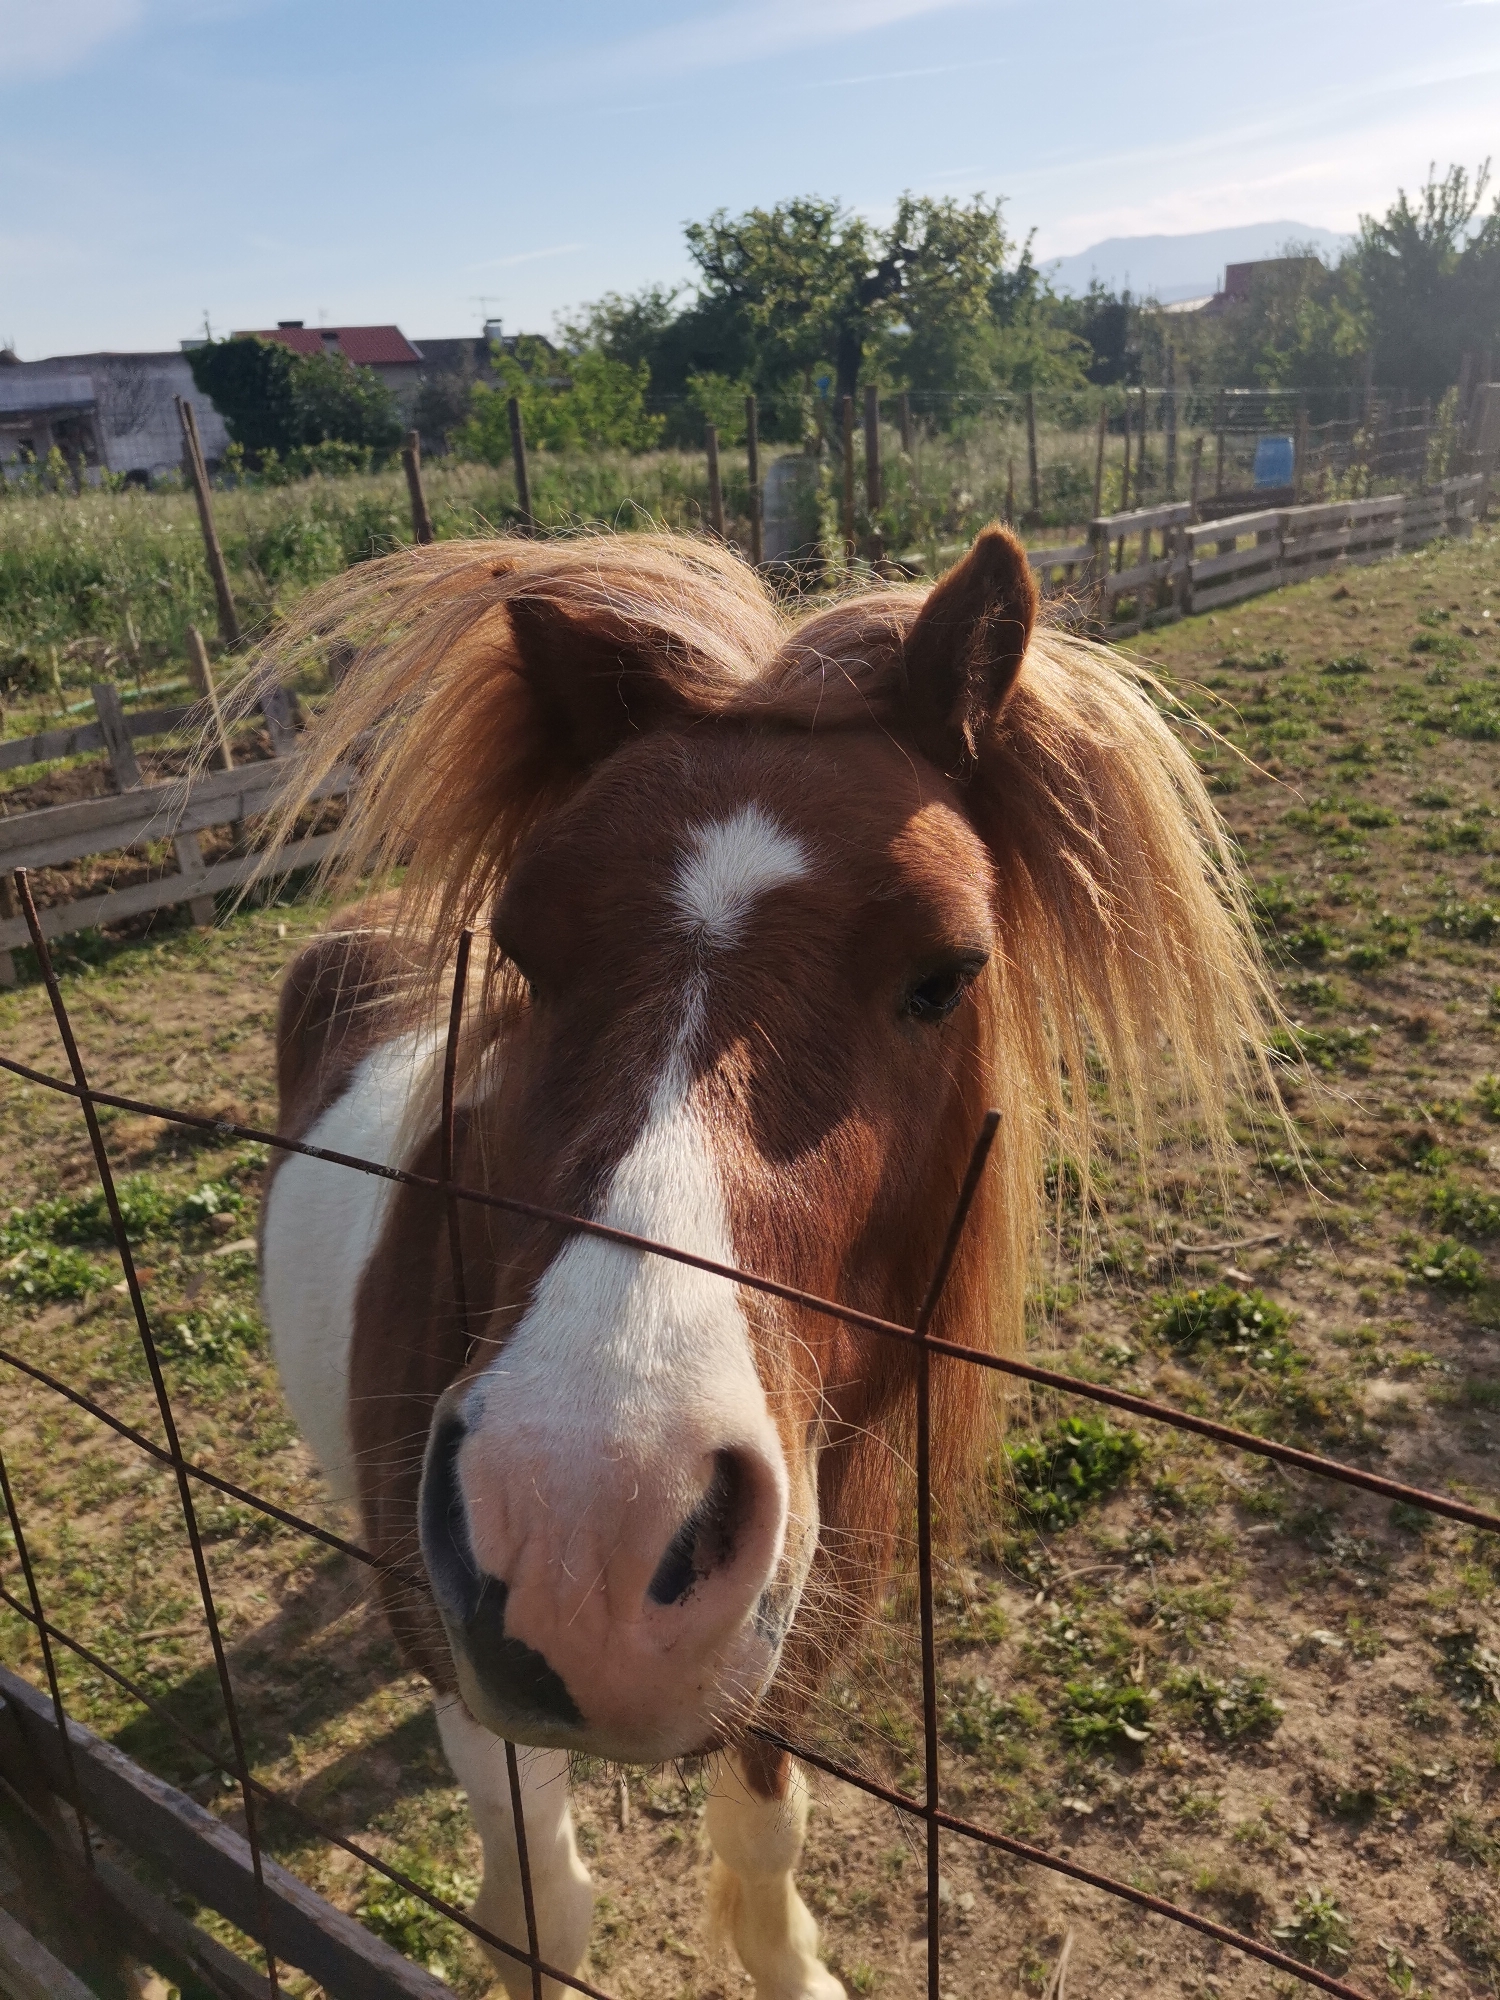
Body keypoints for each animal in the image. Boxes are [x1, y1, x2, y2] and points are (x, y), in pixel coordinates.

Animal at [254, 525, 1272, 1999]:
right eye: (522, 951)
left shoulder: (790, 1648)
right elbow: (542, 1907)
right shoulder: (459, 1675)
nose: (579, 1546)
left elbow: (764, 1832)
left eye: (946, 972)